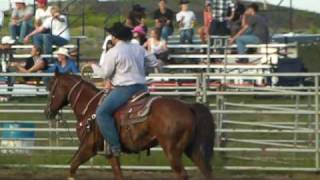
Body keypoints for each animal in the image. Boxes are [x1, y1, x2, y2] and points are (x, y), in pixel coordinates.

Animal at [44, 73, 215, 180]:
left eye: (51, 89)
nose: (47, 112)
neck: (90, 108)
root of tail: (188, 107)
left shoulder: (89, 147)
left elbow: (73, 166)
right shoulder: (111, 153)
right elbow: (118, 175)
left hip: (172, 151)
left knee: (183, 174)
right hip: (192, 148)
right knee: (206, 171)